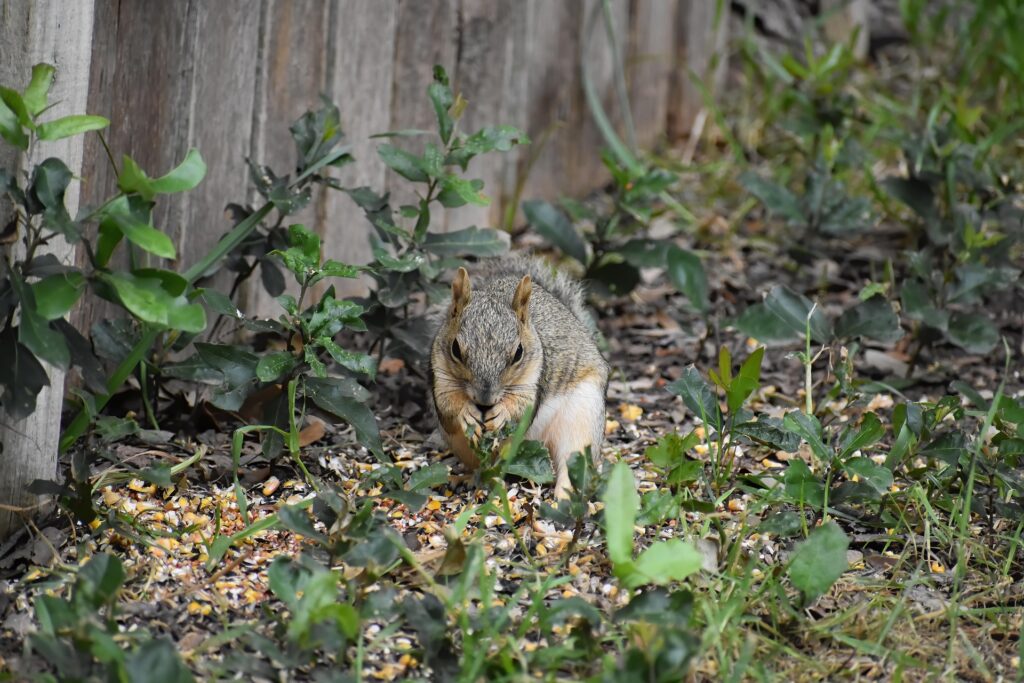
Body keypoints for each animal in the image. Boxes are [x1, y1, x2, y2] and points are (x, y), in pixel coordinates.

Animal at [430, 256, 609, 498]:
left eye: (518, 353)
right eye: (455, 349)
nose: (485, 400)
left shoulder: (535, 377)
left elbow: (523, 407)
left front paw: (503, 413)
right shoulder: (440, 376)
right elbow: (447, 405)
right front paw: (466, 412)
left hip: (582, 418)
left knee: (571, 461)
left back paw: (564, 493)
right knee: (483, 467)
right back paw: (469, 478)